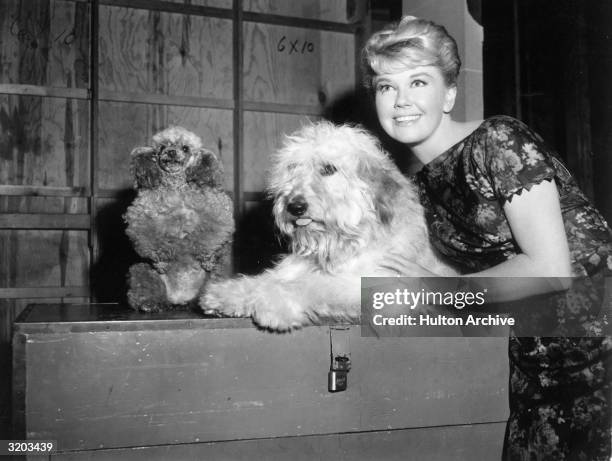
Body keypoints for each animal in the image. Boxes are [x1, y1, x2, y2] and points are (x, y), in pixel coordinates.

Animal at [123, 127, 233, 310]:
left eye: (185, 148)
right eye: (162, 147)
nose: (171, 152)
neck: (176, 188)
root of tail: (181, 298)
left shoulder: (216, 211)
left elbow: (210, 237)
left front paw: (207, 258)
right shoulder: (141, 216)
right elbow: (149, 239)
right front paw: (161, 260)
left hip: (218, 273)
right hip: (143, 270)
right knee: (145, 283)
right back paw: (149, 303)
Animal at [201, 121, 454, 330]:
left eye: (328, 169)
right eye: (292, 168)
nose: (295, 206)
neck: (343, 243)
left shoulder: (382, 289)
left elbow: (315, 286)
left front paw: (272, 301)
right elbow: (266, 279)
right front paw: (226, 294)